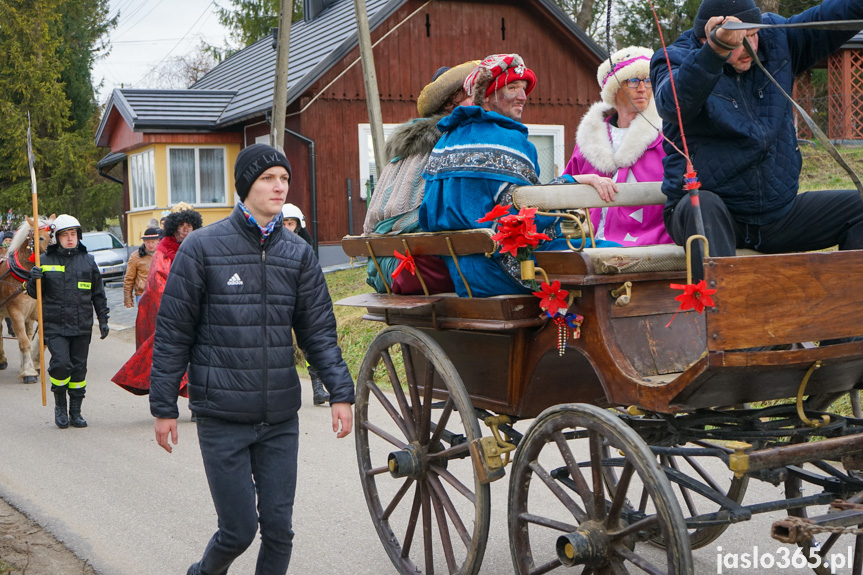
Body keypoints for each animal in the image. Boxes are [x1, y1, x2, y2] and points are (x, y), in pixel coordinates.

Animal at [0, 218, 53, 384]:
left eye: (53, 235)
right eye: (40, 237)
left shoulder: (37, 312)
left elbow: (38, 339)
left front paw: (32, 365)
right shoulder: (16, 313)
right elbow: (24, 342)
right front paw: (29, 372)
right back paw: (2, 360)